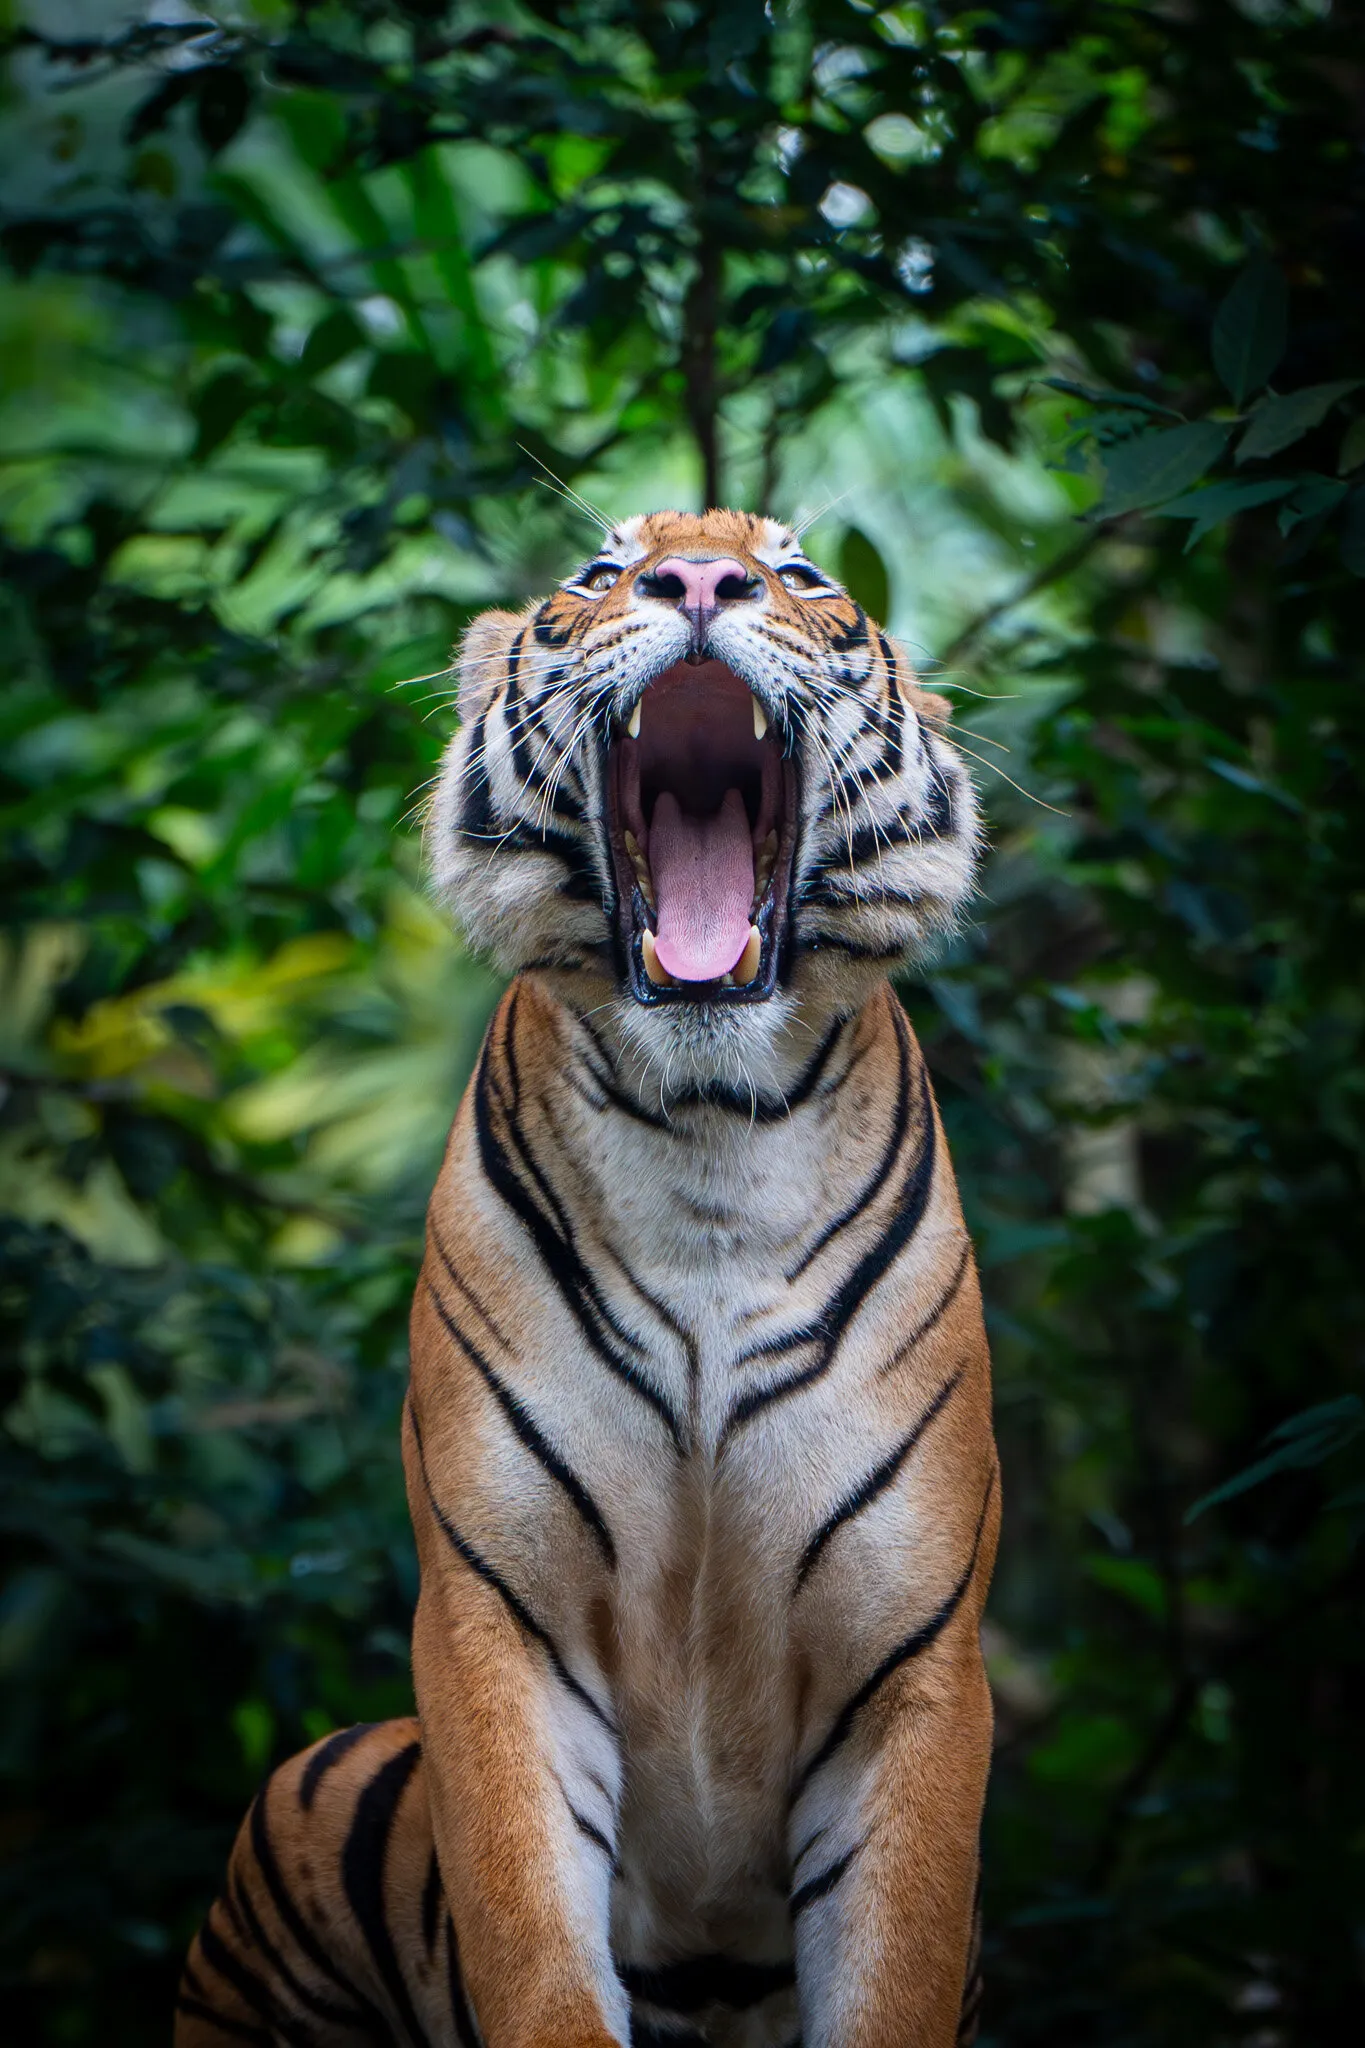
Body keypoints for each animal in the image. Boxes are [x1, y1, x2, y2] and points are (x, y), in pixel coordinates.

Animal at [178, 508, 999, 2048]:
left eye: (801, 577)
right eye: (601, 575)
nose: (700, 579)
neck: (711, 1144)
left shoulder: (914, 1660)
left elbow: (896, 1965)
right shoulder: (497, 1616)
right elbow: (532, 1945)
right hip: (303, 1799)